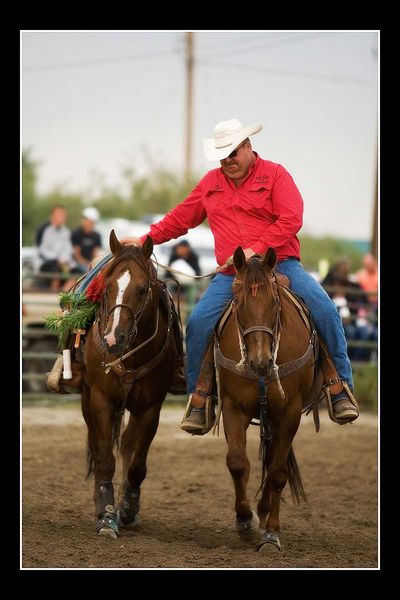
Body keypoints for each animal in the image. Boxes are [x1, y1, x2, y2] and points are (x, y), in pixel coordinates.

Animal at [82, 231, 179, 540]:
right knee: (98, 445)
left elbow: (137, 464)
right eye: (108, 285)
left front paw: (127, 508)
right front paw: (106, 516)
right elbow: (104, 459)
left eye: (142, 289)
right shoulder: (101, 400)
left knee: (126, 445)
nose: (114, 338)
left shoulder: (150, 408)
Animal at [214, 246, 320, 552]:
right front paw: (244, 520)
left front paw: (271, 534)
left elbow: (277, 474)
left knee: (275, 463)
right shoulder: (232, 407)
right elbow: (237, 462)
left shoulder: (290, 412)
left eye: (274, 301)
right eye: (238, 300)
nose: (260, 362)